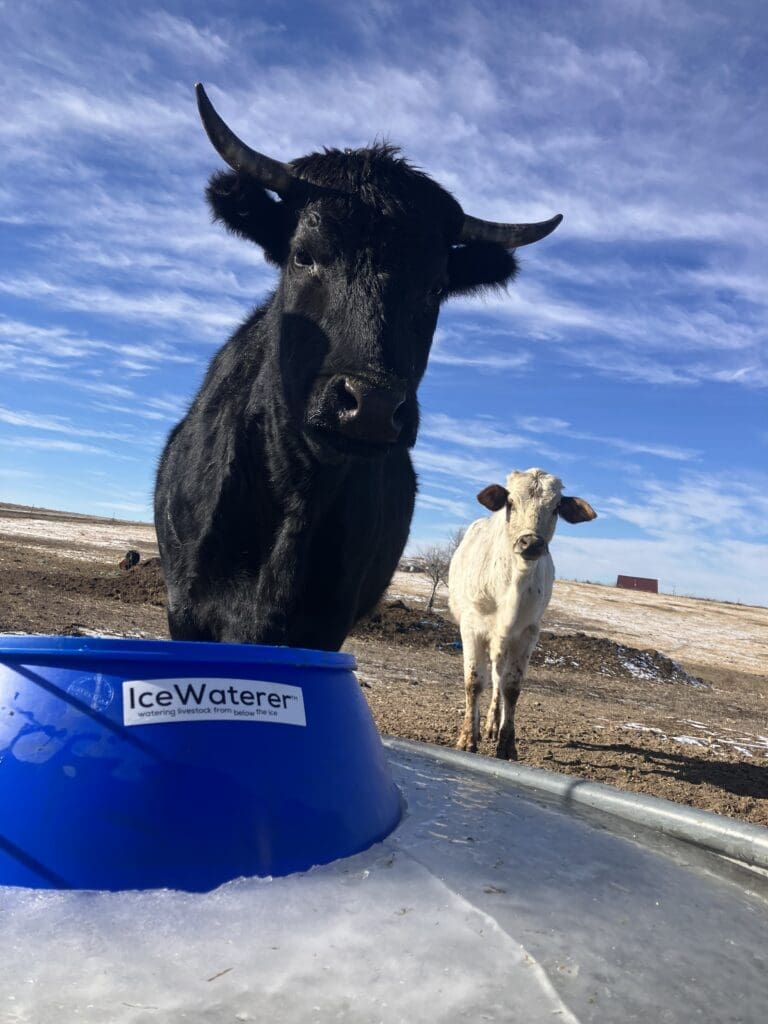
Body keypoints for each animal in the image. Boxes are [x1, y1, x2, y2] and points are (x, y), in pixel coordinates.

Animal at [154, 84, 563, 651]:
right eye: (303, 255)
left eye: (436, 286)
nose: (370, 405)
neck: (296, 488)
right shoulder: (185, 607)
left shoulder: (328, 624)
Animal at [449, 469, 596, 759]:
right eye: (510, 502)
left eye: (556, 508)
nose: (531, 543)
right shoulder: (471, 627)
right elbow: (473, 682)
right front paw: (467, 738)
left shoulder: (528, 633)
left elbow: (511, 687)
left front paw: (506, 744)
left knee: (497, 677)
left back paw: (492, 725)